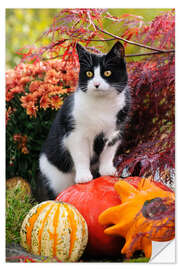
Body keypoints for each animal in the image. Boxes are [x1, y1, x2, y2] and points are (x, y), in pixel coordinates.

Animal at [36, 41, 130, 200]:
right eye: (89, 73)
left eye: (107, 73)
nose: (96, 84)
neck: (101, 105)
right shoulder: (75, 134)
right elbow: (81, 155)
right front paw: (84, 176)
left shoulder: (116, 131)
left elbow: (108, 152)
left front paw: (107, 169)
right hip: (55, 177)